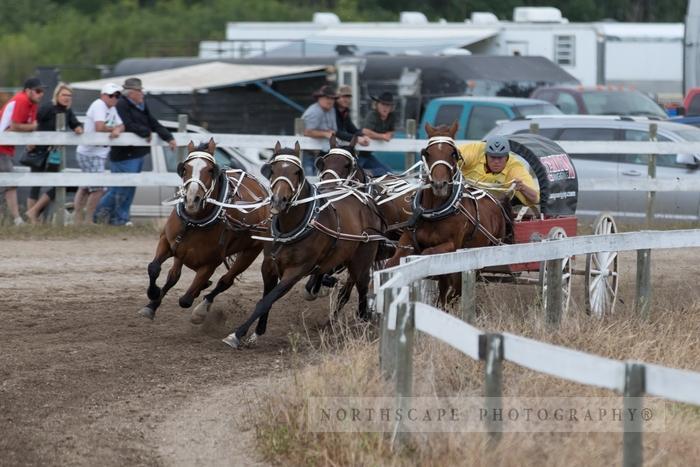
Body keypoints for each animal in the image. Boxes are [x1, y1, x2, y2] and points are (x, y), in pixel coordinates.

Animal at [141, 139, 270, 326]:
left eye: (210, 170)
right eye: (184, 169)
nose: (191, 200)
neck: (194, 222)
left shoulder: (211, 262)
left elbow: (186, 300)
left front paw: (198, 308)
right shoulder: (168, 242)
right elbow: (154, 268)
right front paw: (152, 299)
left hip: (251, 252)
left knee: (225, 281)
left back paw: (204, 302)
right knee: (173, 275)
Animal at [221, 141, 382, 350]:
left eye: (297, 172)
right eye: (272, 169)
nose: (278, 201)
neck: (291, 226)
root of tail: (367, 201)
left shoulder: (295, 271)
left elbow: (266, 301)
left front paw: (237, 334)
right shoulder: (269, 266)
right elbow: (266, 298)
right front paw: (257, 332)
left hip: (361, 261)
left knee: (361, 289)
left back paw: (363, 322)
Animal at [386, 122, 512, 306]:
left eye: (453, 154)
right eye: (427, 153)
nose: (440, 185)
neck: (434, 213)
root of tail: (496, 201)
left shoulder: (451, 246)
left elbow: (426, 255)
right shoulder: (407, 241)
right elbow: (392, 263)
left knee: (456, 286)